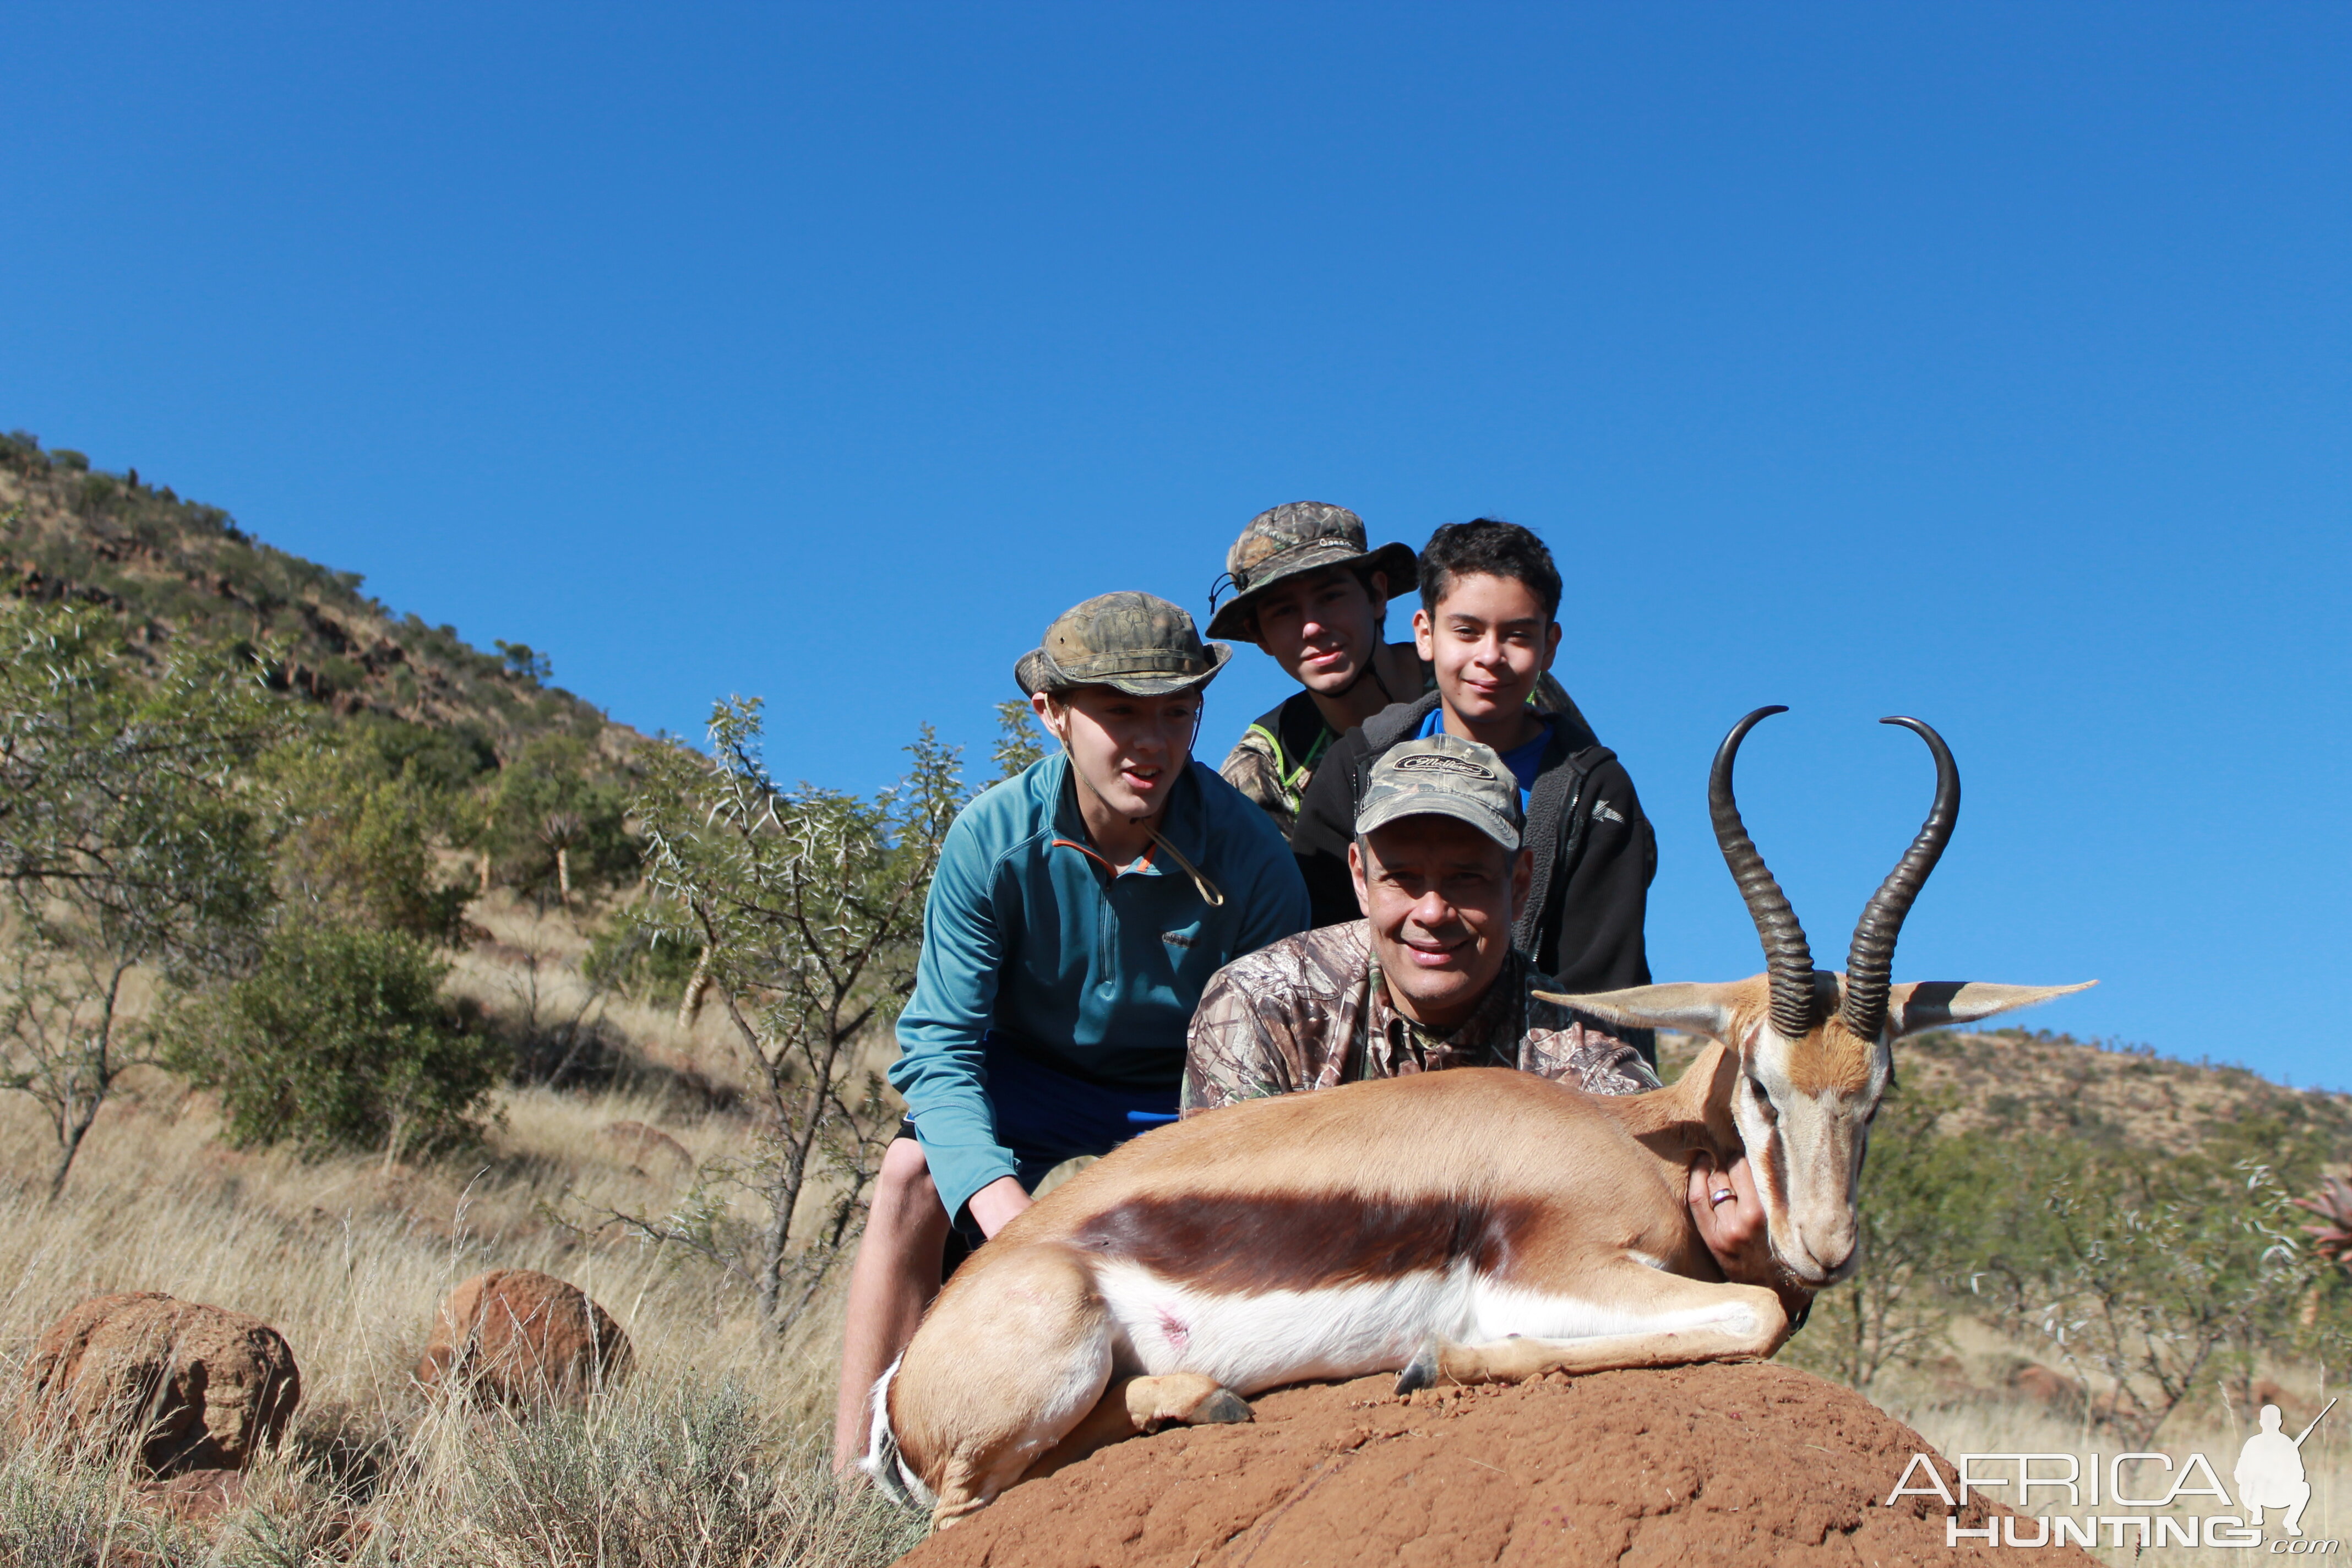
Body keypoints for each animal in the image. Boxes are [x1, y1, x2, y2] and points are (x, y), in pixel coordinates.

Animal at [870, 705, 2098, 1523]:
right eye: (1761, 1081)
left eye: (1878, 1090)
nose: (1827, 1247)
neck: (1626, 1138)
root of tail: (905, 1386)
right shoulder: (1557, 1272)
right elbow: (1752, 1313)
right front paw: (1440, 1358)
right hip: (1045, 1365)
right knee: (975, 1497)